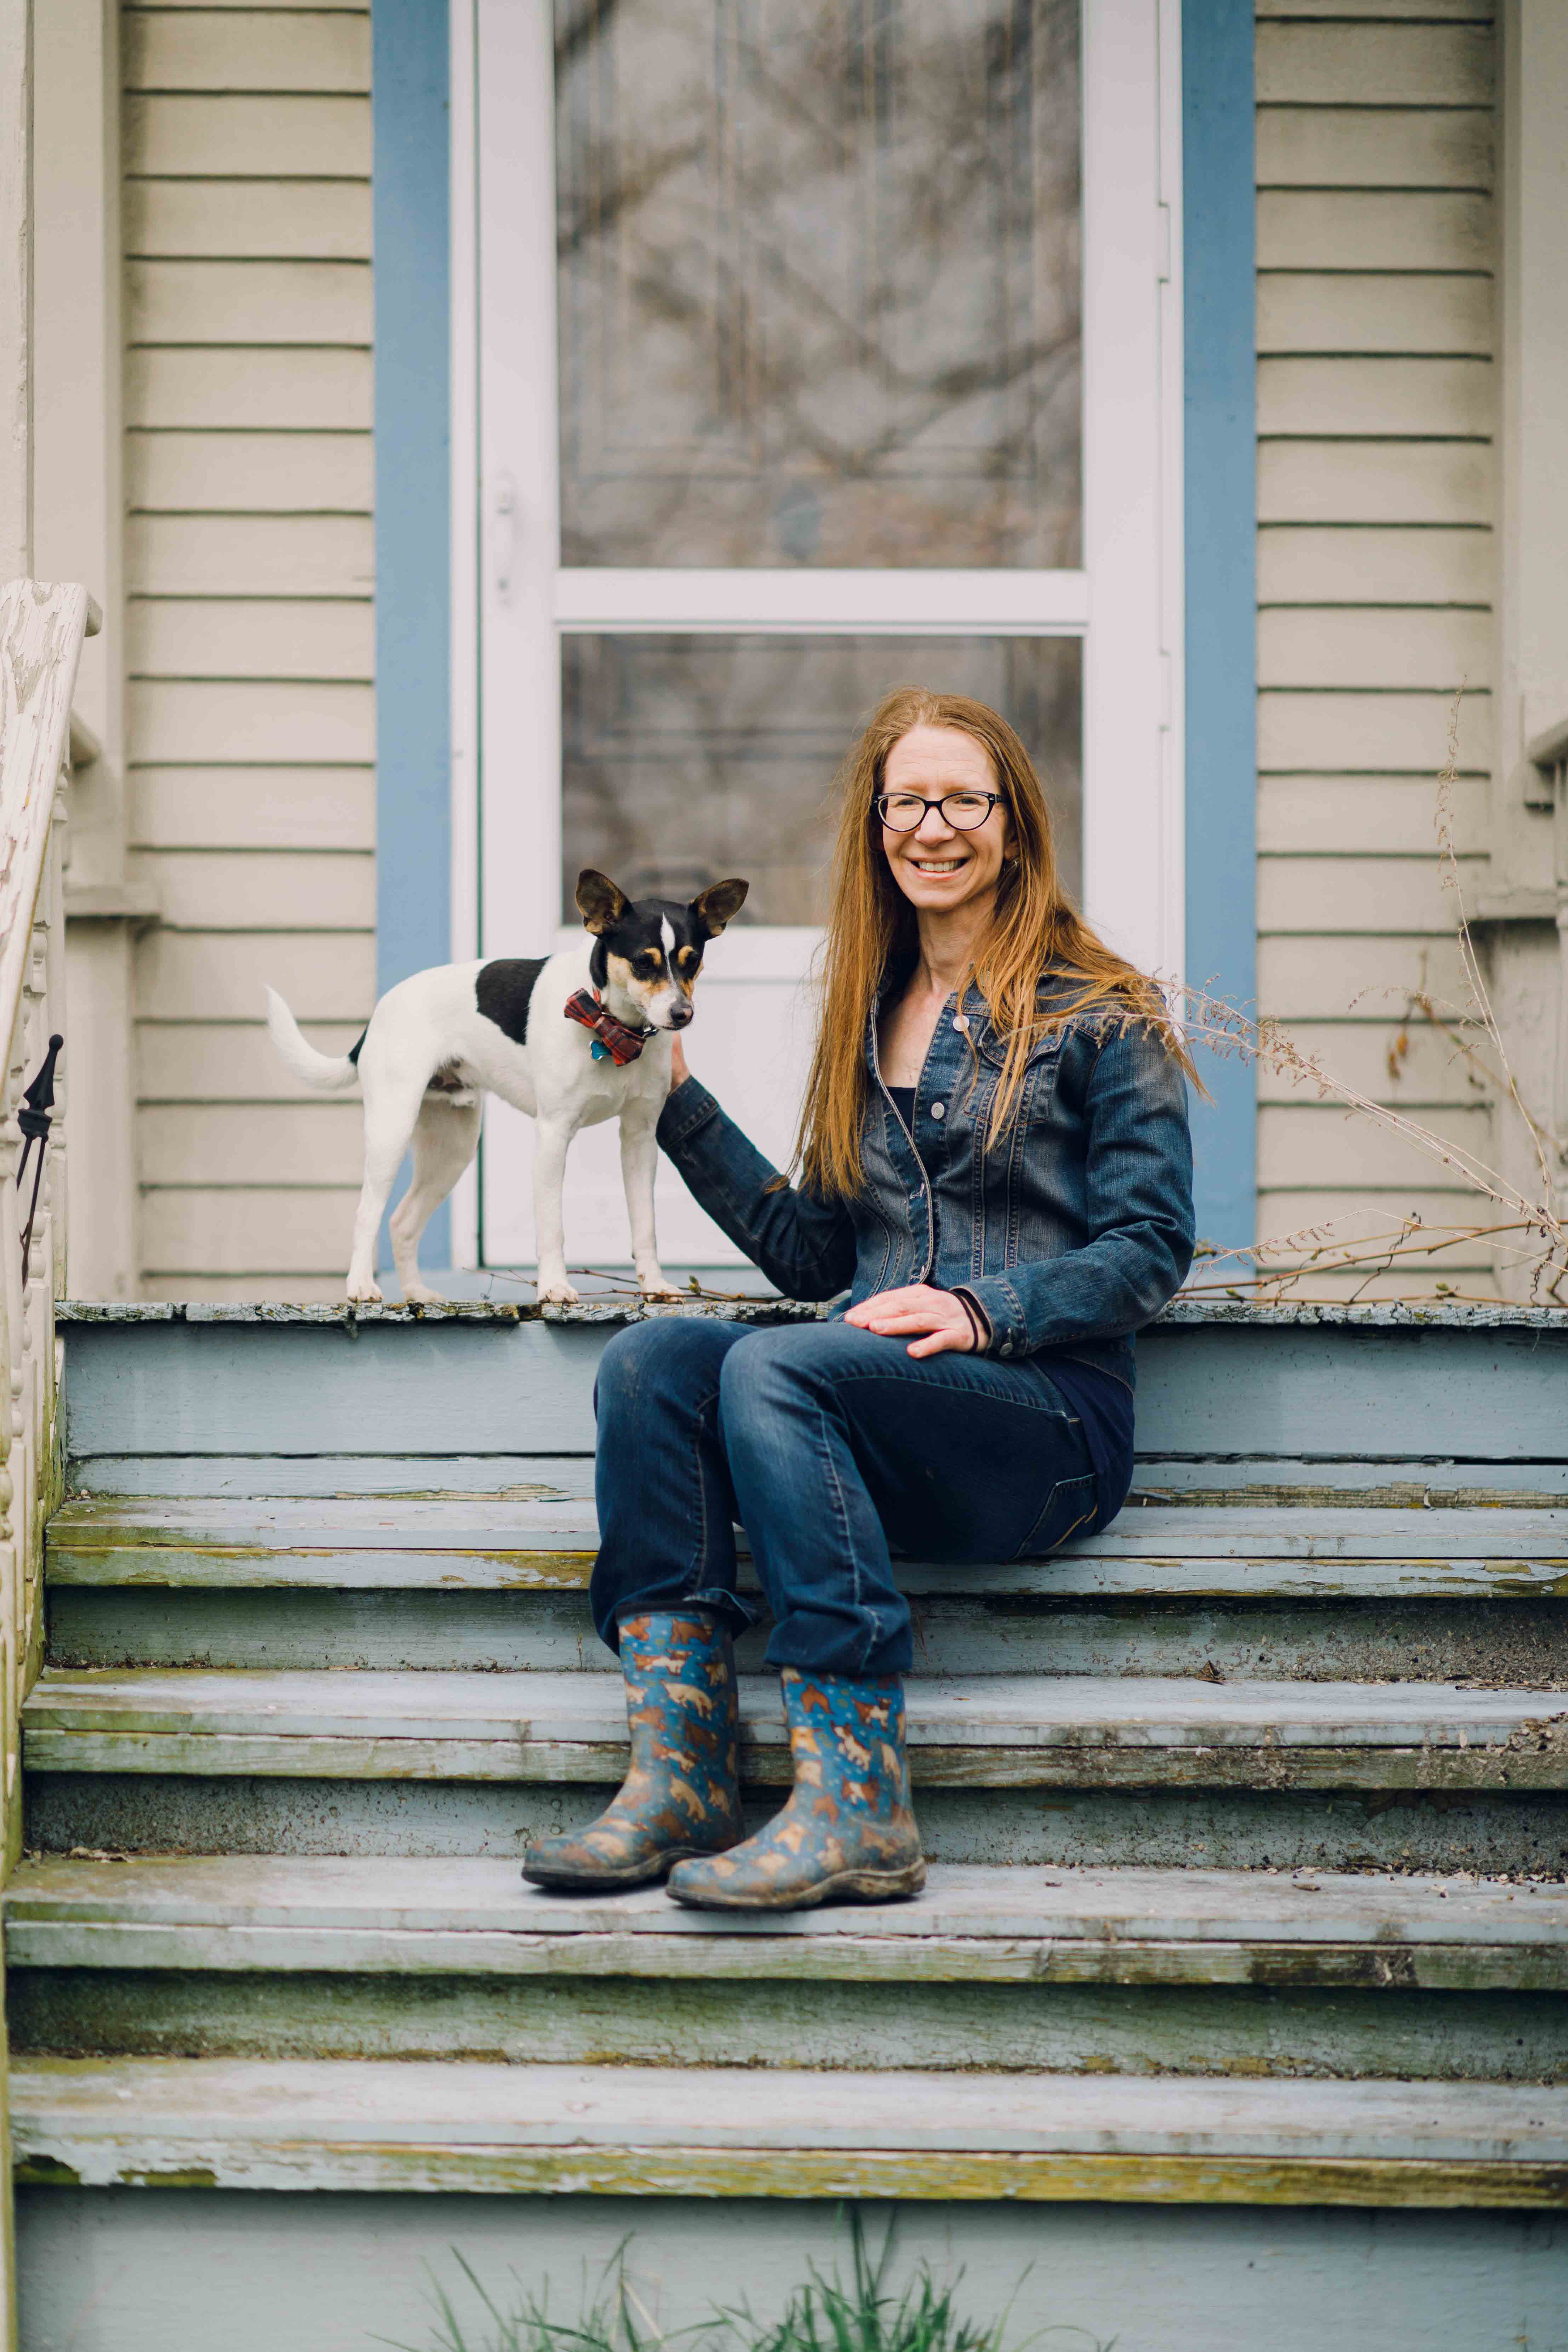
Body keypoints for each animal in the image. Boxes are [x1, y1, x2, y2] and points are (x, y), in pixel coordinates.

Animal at [267, 870, 752, 1307]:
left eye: (692, 961)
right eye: (643, 962)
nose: (681, 1014)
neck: (614, 1028)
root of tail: (378, 1013)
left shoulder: (640, 1139)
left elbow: (645, 1225)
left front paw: (653, 1285)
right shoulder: (554, 1134)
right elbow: (552, 1225)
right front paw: (553, 1287)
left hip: (453, 1148)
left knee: (402, 1222)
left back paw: (417, 1294)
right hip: (392, 1128)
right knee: (367, 1213)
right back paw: (361, 1287)